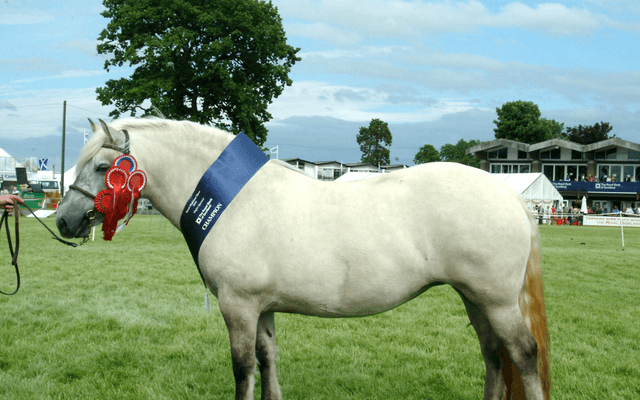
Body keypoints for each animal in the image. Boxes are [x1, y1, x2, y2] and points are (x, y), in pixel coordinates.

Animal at [56, 118, 550, 400]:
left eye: (102, 167)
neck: (233, 200)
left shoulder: (238, 306)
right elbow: (268, 359)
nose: (64, 221)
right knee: (493, 355)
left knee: (523, 354)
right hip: (474, 298)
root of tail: (511, 197)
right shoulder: (262, 308)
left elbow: (243, 369)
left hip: (497, 301)